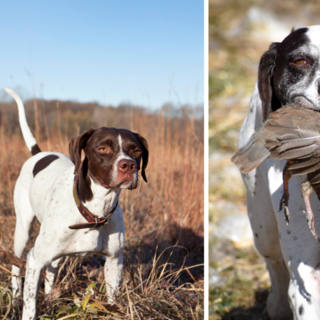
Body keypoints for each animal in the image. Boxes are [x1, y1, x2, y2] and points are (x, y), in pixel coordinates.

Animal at [4, 88, 149, 320]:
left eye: (136, 151)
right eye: (102, 148)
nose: (129, 166)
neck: (94, 211)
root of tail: (39, 153)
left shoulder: (114, 261)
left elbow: (112, 299)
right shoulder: (34, 260)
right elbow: (30, 306)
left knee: (52, 269)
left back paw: (51, 298)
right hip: (23, 231)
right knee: (17, 266)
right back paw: (16, 295)